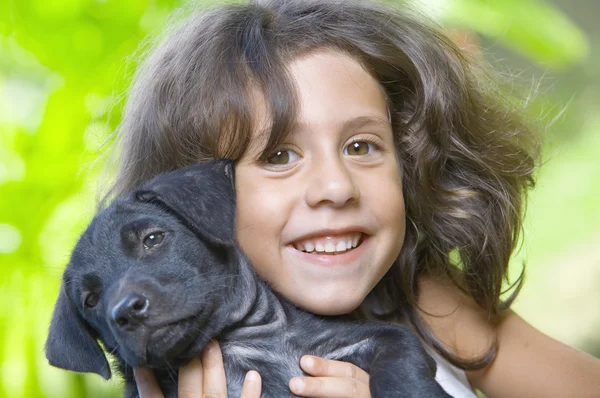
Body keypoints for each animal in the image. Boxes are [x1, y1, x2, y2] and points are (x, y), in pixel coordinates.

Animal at [45, 160, 450, 396]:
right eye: (90, 300)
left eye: (153, 238)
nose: (125, 310)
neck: (249, 342)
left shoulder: (370, 340)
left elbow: (400, 366)